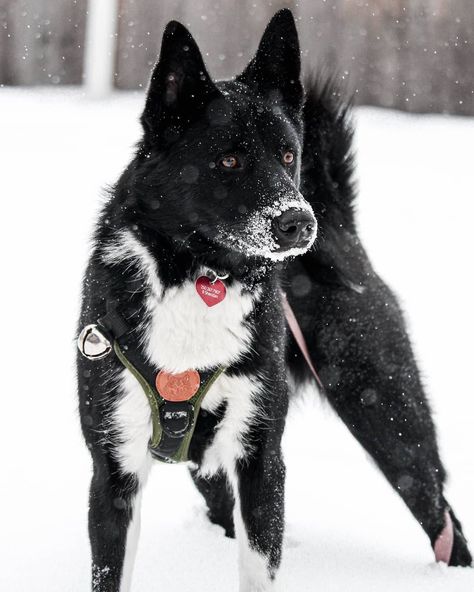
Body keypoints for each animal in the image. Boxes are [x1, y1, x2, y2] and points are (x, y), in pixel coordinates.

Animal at [78, 9, 470, 592]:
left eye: (288, 154)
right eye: (229, 160)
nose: (298, 222)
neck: (200, 279)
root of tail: (336, 219)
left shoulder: (262, 459)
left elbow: (260, 564)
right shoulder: (113, 470)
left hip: (387, 416)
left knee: (442, 515)